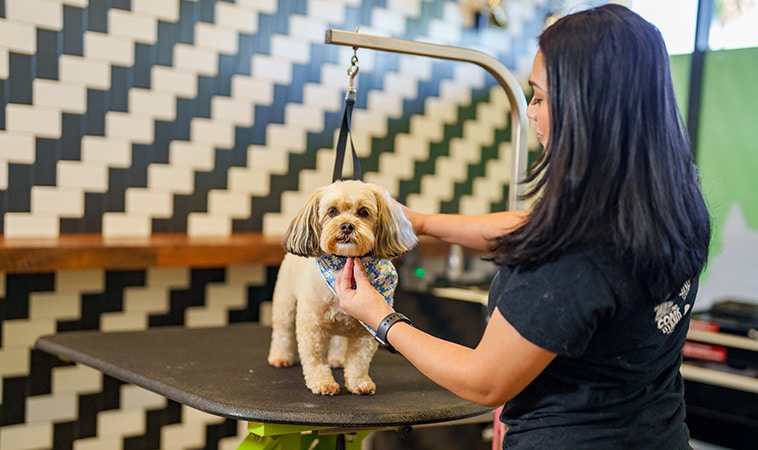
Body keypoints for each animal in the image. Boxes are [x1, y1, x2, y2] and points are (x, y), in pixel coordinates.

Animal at [268, 181, 422, 396]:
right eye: (332, 211)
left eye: (363, 212)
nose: (347, 226)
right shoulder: (312, 325)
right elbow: (315, 358)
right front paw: (323, 383)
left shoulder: (367, 330)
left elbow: (359, 360)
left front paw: (359, 383)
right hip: (285, 302)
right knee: (282, 331)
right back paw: (280, 357)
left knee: (338, 340)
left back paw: (337, 359)